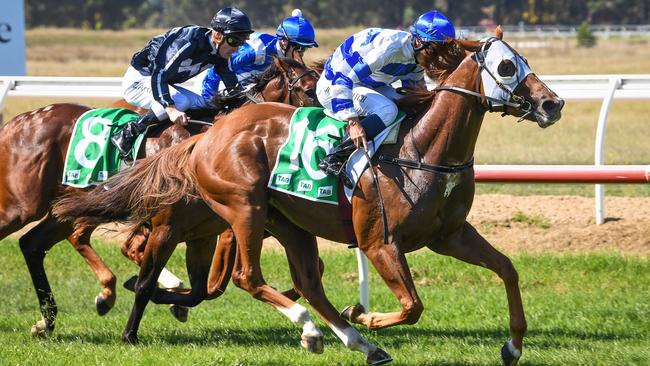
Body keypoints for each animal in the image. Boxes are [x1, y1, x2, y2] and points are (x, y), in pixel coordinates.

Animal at [0, 56, 318, 338]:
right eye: (308, 89)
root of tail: (15, 123)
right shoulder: (171, 227)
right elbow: (162, 283)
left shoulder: (206, 231)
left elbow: (201, 289)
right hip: (22, 206)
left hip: (65, 208)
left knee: (33, 244)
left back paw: (47, 321)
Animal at [55, 29, 560, 366]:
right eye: (507, 66)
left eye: (523, 60)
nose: (552, 104)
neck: (424, 150)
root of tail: (207, 135)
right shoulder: (379, 242)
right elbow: (412, 306)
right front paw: (366, 313)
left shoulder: (449, 235)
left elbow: (508, 269)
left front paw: (513, 345)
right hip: (245, 209)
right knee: (247, 276)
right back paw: (320, 330)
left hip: (287, 223)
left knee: (308, 282)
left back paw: (357, 342)